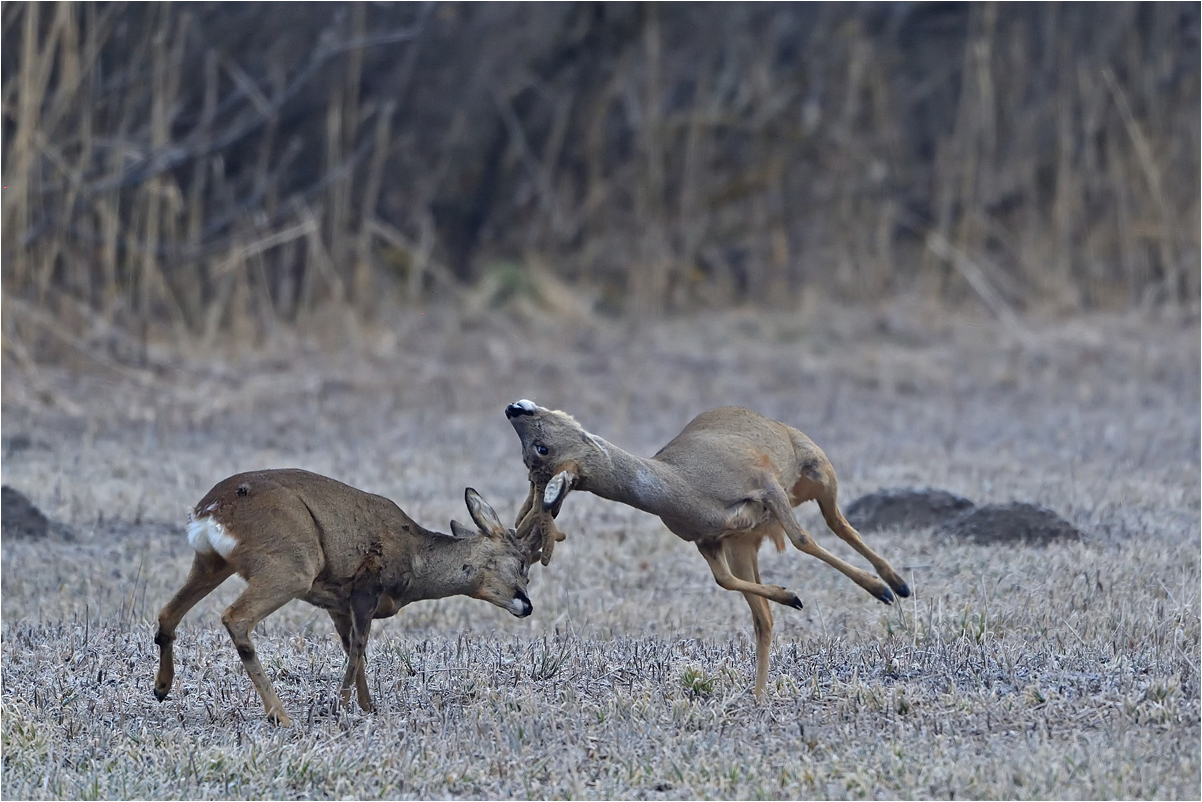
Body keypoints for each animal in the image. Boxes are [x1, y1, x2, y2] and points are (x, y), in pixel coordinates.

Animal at [153, 471, 536, 726]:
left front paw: (367, 707)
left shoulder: (337, 603)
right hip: (291, 566)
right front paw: (342, 706)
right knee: (235, 617)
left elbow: (352, 647)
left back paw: (161, 688)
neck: (416, 559)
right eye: (521, 562)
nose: (527, 605)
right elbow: (358, 649)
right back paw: (281, 715)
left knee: (167, 613)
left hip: (211, 563)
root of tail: (210, 510)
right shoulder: (366, 586)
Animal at [504, 401, 908, 697]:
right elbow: (724, 581)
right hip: (746, 542)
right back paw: (759, 694)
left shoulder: (765, 482)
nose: (513, 408)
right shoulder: (708, 539)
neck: (685, 486)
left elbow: (801, 540)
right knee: (763, 616)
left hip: (816, 465)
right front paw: (791, 595)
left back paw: (894, 583)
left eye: (541, 447)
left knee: (839, 524)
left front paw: (879, 589)